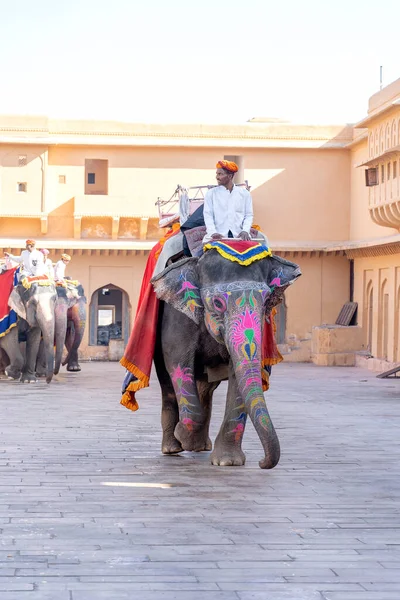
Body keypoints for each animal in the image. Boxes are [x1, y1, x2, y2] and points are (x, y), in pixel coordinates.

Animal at [151, 246, 300, 472]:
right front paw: (182, 437)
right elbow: (179, 365)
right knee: (167, 383)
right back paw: (173, 448)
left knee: (205, 388)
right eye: (217, 303)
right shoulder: (177, 318)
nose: (262, 462)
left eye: (267, 301)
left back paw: (199, 447)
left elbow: (238, 373)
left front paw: (227, 462)